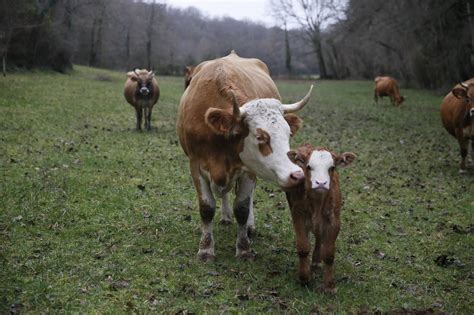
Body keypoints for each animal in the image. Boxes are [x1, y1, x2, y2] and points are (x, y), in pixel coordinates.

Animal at [176, 50, 312, 262]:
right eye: (260, 136)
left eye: (288, 133)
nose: (297, 175)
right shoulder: (195, 164)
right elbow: (207, 208)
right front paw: (206, 249)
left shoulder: (248, 169)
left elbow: (242, 207)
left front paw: (244, 248)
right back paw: (225, 216)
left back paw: (249, 226)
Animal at [286, 144, 356, 296]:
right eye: (308, 166)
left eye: (332, 167)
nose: (321, 183)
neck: (317, 203)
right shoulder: (298, 215)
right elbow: (303, 247)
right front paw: (304, 277)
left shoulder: (334, 221)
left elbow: (329, 254)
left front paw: (329, 286)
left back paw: (316, 261)